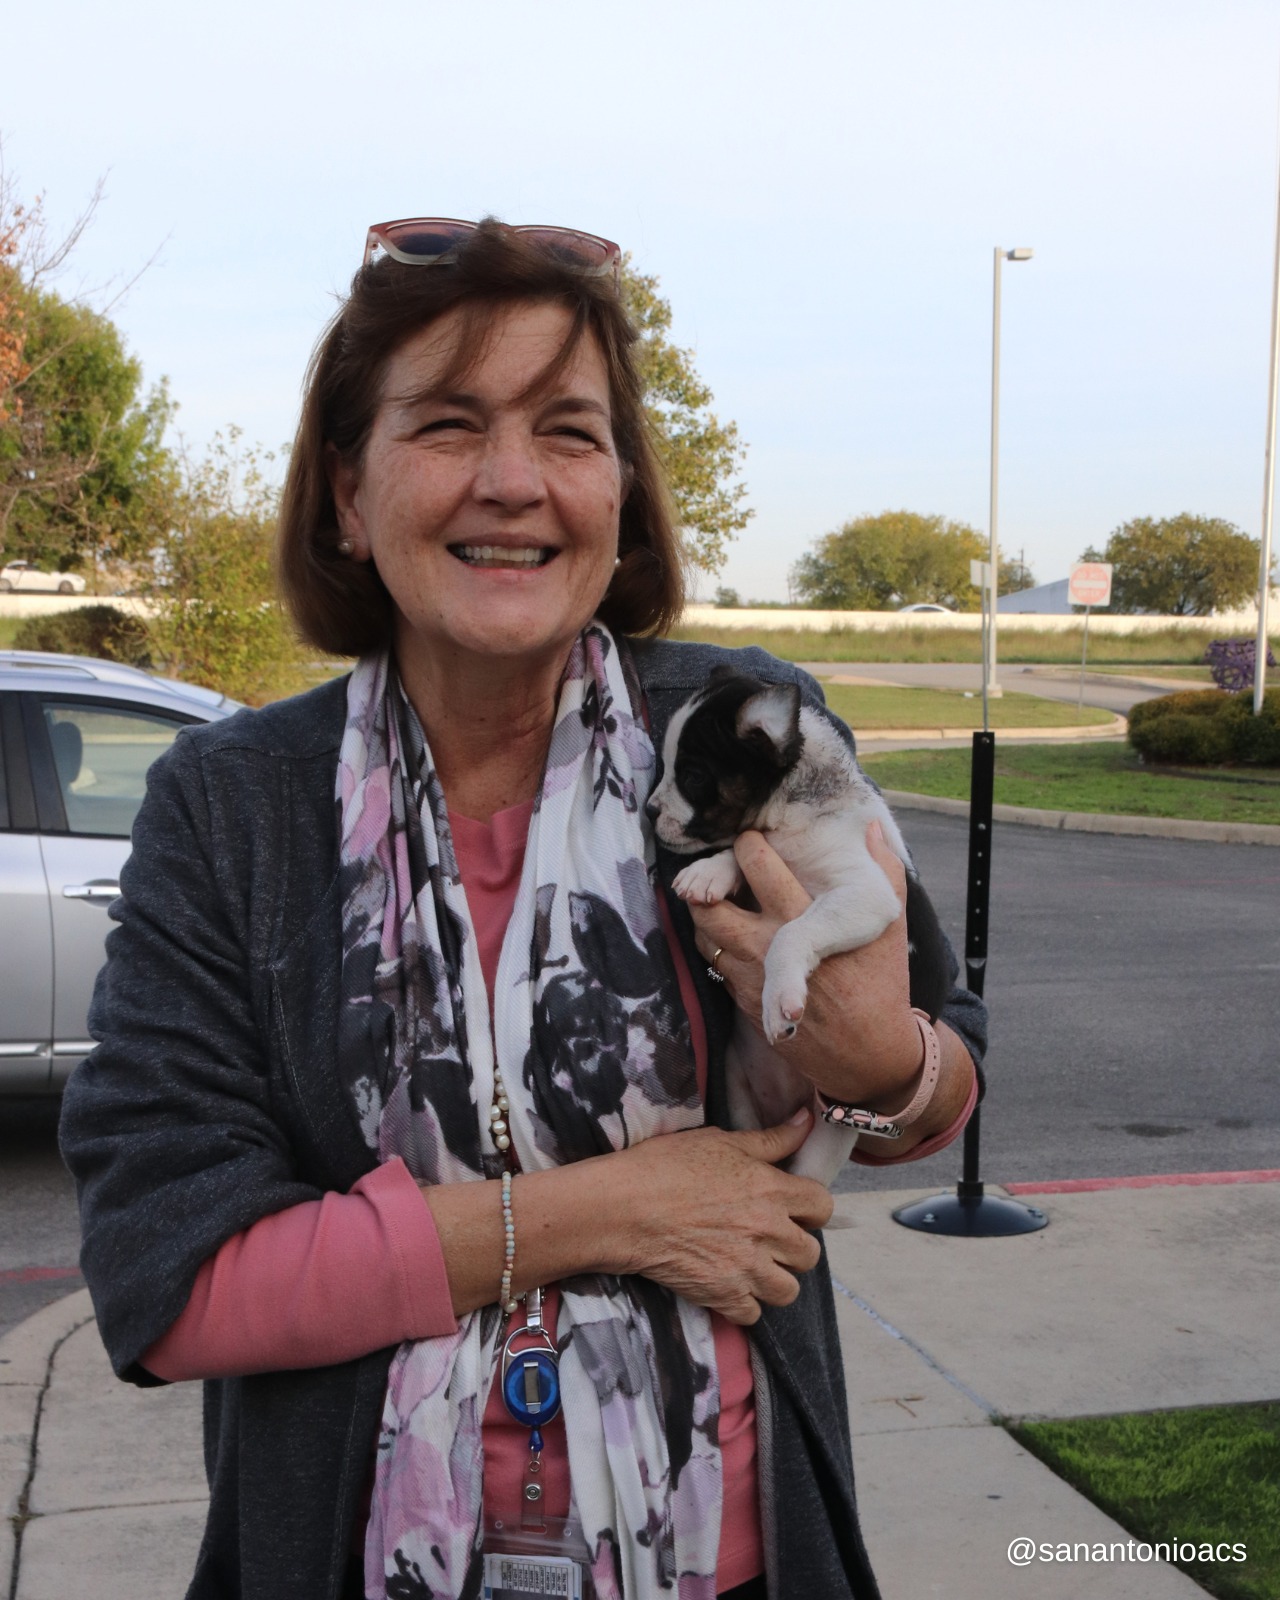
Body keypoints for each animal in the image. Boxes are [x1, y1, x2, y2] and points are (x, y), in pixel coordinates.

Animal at [649, 665, 947, 1190]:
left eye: (692, 775)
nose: (648, 809)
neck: (792, 812)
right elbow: (741, 847)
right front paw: (710, 873)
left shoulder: (865, 891)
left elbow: (792, 933)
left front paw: (779, 999)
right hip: (740, 1096)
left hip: (830, 1134)